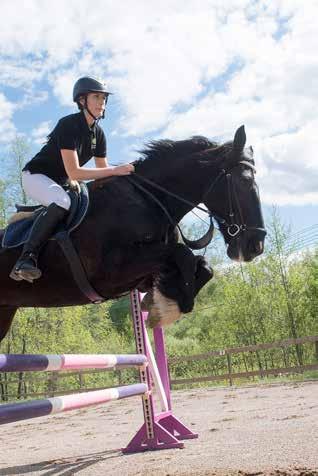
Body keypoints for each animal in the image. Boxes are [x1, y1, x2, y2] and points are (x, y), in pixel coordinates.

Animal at [0, 127, 266, 338]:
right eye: (243, 181)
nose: (256, 246)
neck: (150, 199)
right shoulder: (112, 271)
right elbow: (184, 254)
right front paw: (165, 309)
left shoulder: (144, 272)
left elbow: (201, 266)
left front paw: (161, 302)